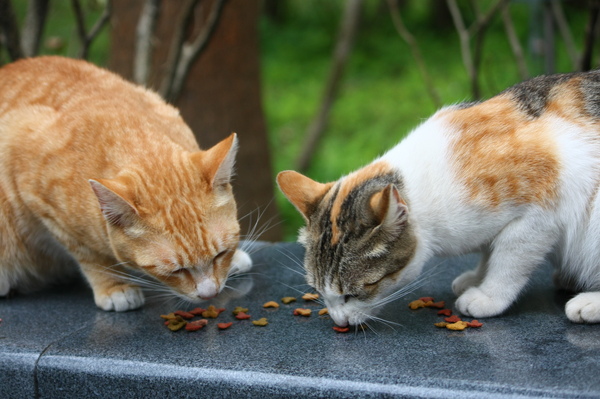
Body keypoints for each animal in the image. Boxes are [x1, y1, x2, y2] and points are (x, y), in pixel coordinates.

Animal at [0, 57, 252, 312]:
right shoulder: (44, 207)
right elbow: (91, 255)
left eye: (221, 254)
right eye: (176, 270)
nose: (210, 294)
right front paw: (114, 286)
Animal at [278, 71, 600, 328]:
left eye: (358, 290)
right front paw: (477, 277)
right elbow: (489, 251)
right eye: (318, 289)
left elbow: (508, 260)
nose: (339, 321)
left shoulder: (539, 217)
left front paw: (488, 295)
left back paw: (588, 302)